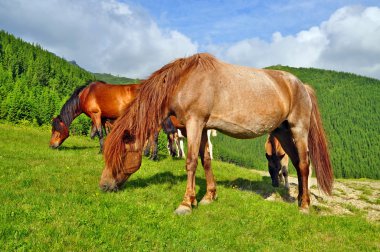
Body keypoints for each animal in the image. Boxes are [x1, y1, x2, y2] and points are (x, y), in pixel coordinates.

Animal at [100, 53, 332, 215]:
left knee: (304, 164)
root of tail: (301, 86)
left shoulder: (194, 123)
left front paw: (186, 204)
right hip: (282, 132)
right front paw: (207, 197)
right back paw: (300, 199)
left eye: (120, 154)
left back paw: (304, 206)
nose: (103, 186)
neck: (185, 80)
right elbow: (206, 160)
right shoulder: (201, 127)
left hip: (298, 129)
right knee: (297, 163)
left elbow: (191, 161)